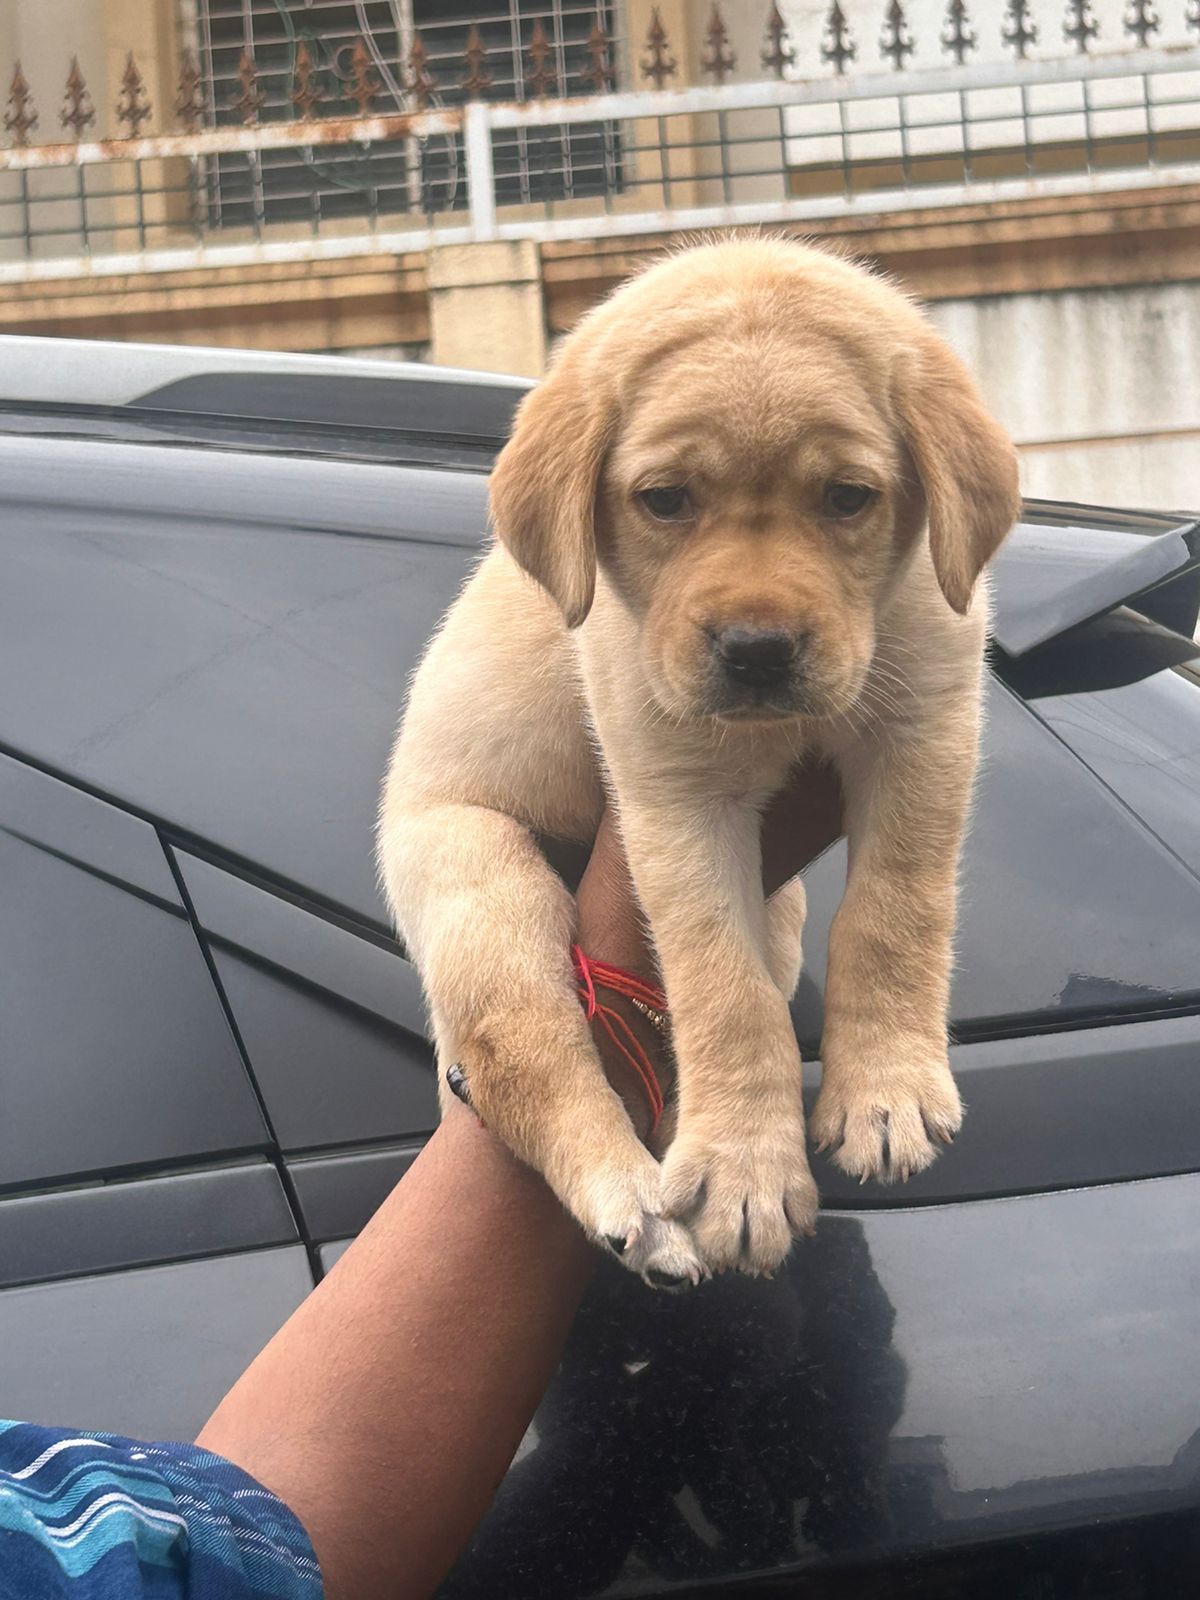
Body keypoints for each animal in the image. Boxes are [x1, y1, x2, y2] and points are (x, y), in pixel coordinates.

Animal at [380, 233, 1017, 1286]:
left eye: (848, 498)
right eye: (665, 501)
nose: (757, 651)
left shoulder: (927, 727)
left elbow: (895, 912)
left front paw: (882, 1093)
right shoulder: (672, 792)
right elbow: (721, 984)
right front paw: (741, 1170)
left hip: (778, 909)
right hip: (482, 886)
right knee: (527, 1055)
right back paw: (636, 1198)